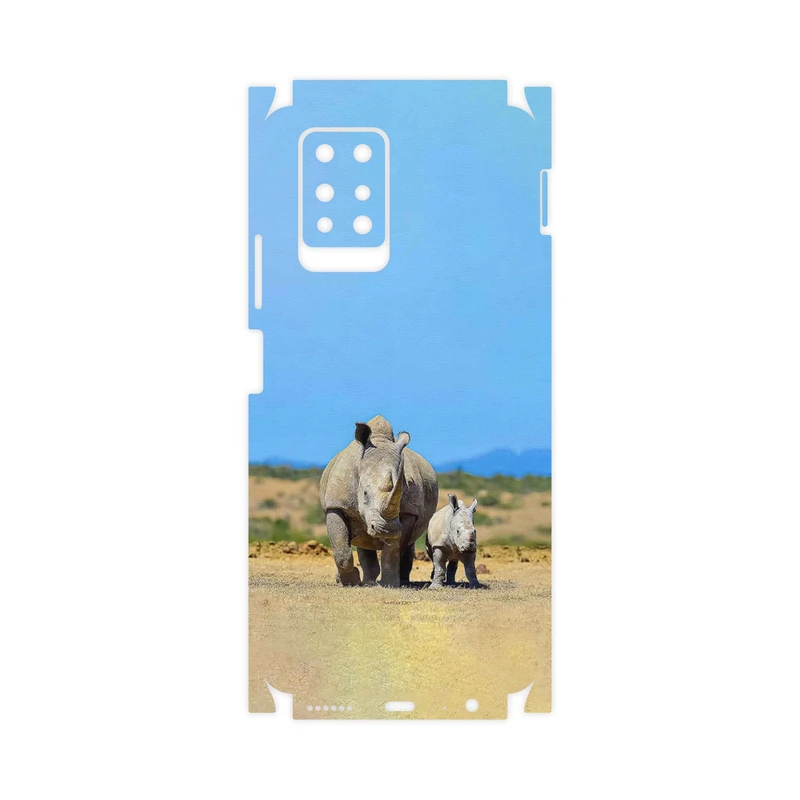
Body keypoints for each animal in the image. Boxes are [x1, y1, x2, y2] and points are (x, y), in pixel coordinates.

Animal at [319, 415, 438, 587]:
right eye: (365, 494)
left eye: (400, 494)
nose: (387, 529)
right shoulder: (336, 505)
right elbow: (341, 549)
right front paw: (350, 582)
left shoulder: (409, 512)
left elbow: (393, 550)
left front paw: (390, 584)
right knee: (363, 541)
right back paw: (365, 582)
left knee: (407, 544)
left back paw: (400, 581)